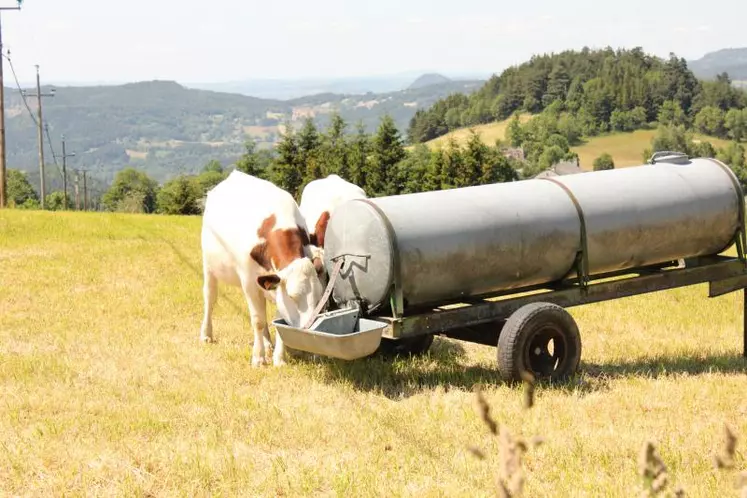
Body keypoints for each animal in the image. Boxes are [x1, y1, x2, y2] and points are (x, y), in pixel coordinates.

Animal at [200, 170, 326, 366]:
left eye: (319, 295)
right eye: (292, 296)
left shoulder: (277, 284)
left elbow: (278, 320)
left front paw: (279, 359)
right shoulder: (249, 282)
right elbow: (258, 320)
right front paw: (258, 358)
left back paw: (268, 344)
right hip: (209, 265)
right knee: (210, 298)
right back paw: (206, 334)